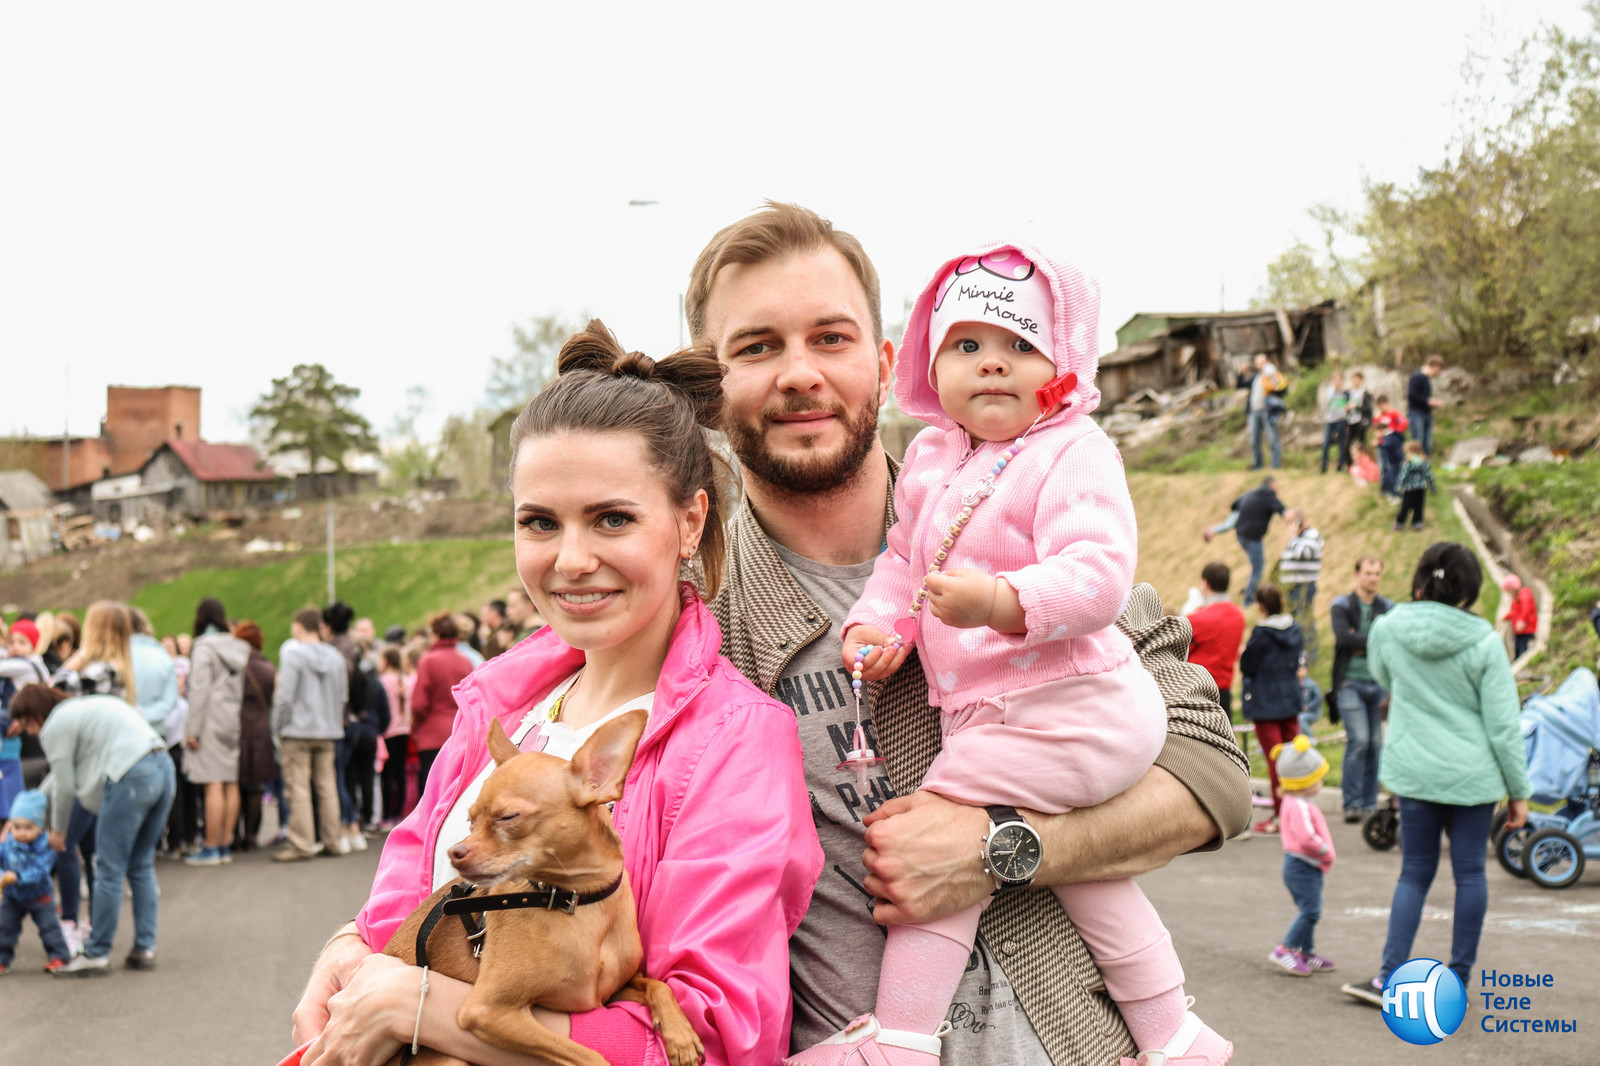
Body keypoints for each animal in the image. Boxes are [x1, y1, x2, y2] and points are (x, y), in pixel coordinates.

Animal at [383, 709, 703, 1066]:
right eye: (471, 821)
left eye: (508, 817)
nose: (456, 852)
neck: (578, 902)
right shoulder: (487, 1011)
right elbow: (592, 1057)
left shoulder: (608, 994)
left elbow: (657, 985)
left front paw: (681, 1035)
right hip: (450, 1058)